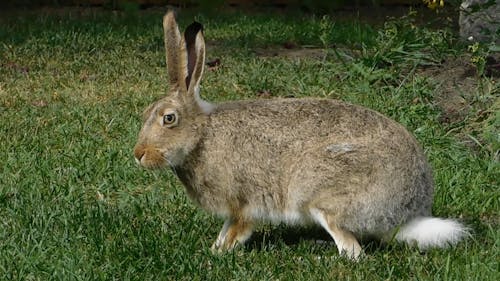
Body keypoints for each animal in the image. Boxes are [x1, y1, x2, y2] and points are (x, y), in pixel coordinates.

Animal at [133, 11, 468, 260]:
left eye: (168, 118)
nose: (138, 155)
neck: (201, 136)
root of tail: (407, 211)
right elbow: (225, 228)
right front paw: (213, 248)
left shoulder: (244, 203)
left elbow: (237, 230)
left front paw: (218, 254)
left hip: (319, 193)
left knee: (352, 250)